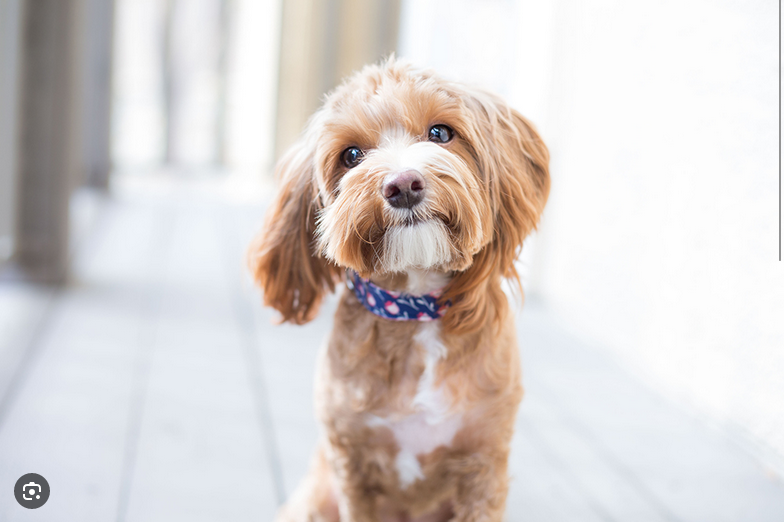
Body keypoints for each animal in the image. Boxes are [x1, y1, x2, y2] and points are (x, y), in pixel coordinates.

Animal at [248, 58, 548, 520]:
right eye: (352, 155)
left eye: (440, 133)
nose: (403, 184)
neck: (415, 307)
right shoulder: (352, 467)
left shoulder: (484, 463)